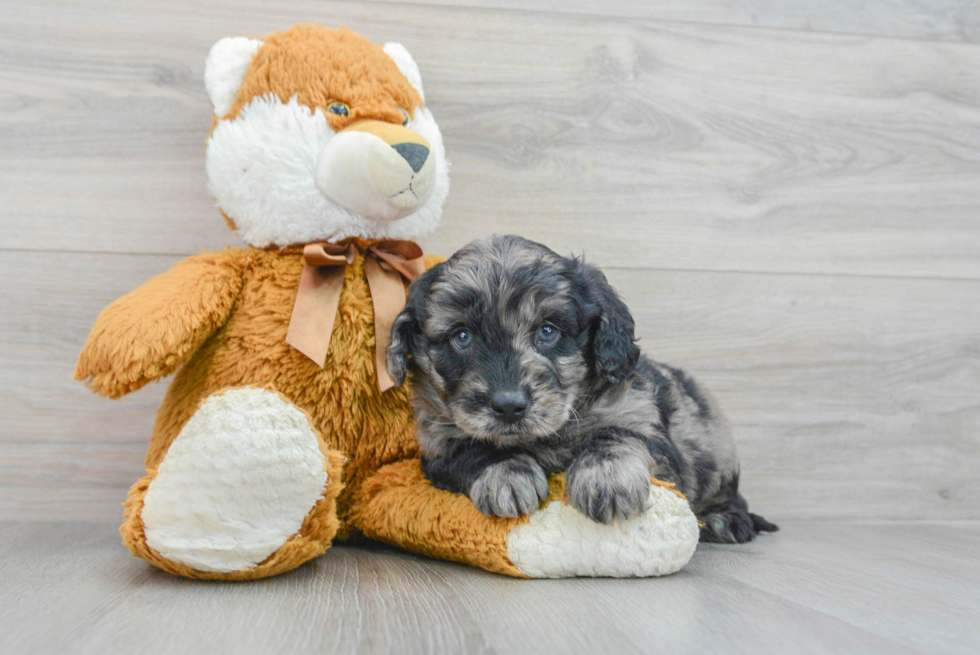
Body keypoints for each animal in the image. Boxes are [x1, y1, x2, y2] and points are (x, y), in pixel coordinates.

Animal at [386, 236, 776, 544]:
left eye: (547, 331)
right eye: (462, 337)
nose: (509, 405)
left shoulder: (642, 418)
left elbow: (616, 435)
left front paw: (606, 478)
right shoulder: (437, 445)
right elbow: (471, 450)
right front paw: (506, 474)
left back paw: (725, 519)